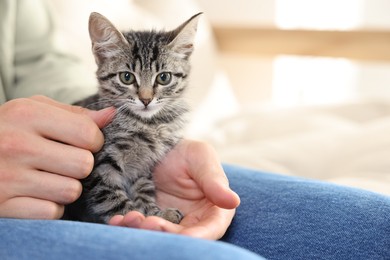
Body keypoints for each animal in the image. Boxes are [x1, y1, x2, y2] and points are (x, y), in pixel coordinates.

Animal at [64, 12, 201, 223]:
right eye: (126, 77)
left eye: (164, 78)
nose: (146, 99)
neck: (149, 124)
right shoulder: (100, 168)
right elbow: (112, 199)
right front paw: (133, 216)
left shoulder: (143, 169)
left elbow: (144, 190)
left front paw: (155, 213)